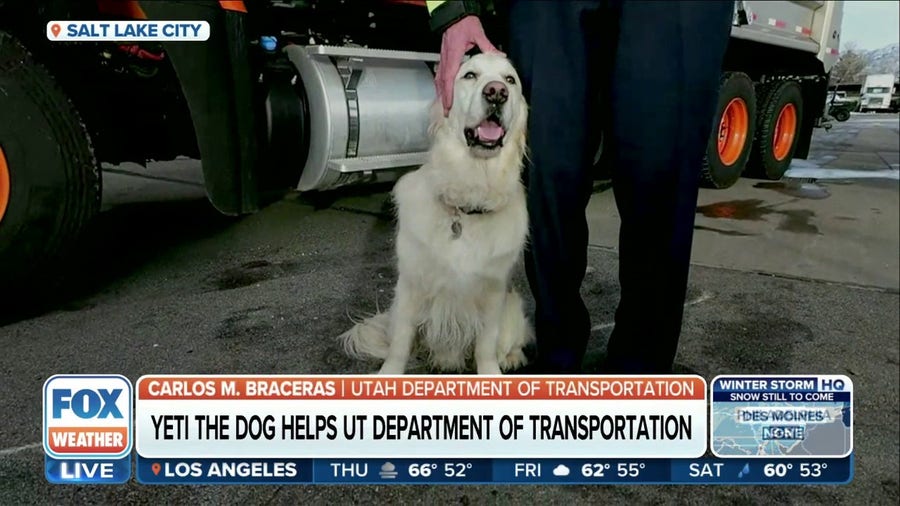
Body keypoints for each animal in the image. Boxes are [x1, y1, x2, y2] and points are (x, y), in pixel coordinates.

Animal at [338, 52, 536, 376]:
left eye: (510, 80)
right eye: (470, 75)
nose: (496, 92)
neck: (467, 202)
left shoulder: (493, 290)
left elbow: (486, 345)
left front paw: (491, 372)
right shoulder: (410, 285)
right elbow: (400, 344)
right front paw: (389, 373)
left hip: (513, 305)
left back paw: (511, 358)